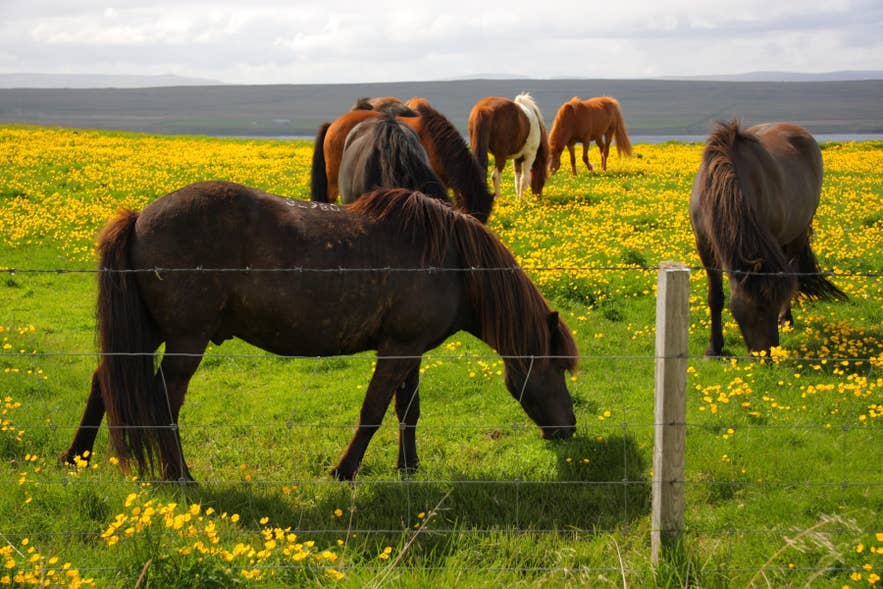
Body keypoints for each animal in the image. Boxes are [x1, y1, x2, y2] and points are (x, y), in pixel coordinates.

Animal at [60, 183, 578, 482]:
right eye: (557, 370)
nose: (568, 431)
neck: (451, 260)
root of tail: (139, 217)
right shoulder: (396, 351)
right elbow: (372, 413)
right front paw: (344, 471)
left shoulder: (410, 350)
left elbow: (407, 412)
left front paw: (408, 468)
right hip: (187, 341)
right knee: (163, 404)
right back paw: (180, 476)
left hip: (148, 333)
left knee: (103, 383)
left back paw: (75, 458)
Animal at [690, 120, 847, 357]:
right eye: (759, 307)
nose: (768, 355)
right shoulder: (705, 246)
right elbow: (715, 297)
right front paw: (714, 348)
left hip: (797, 233)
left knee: (793, 269)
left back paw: (787, 319)